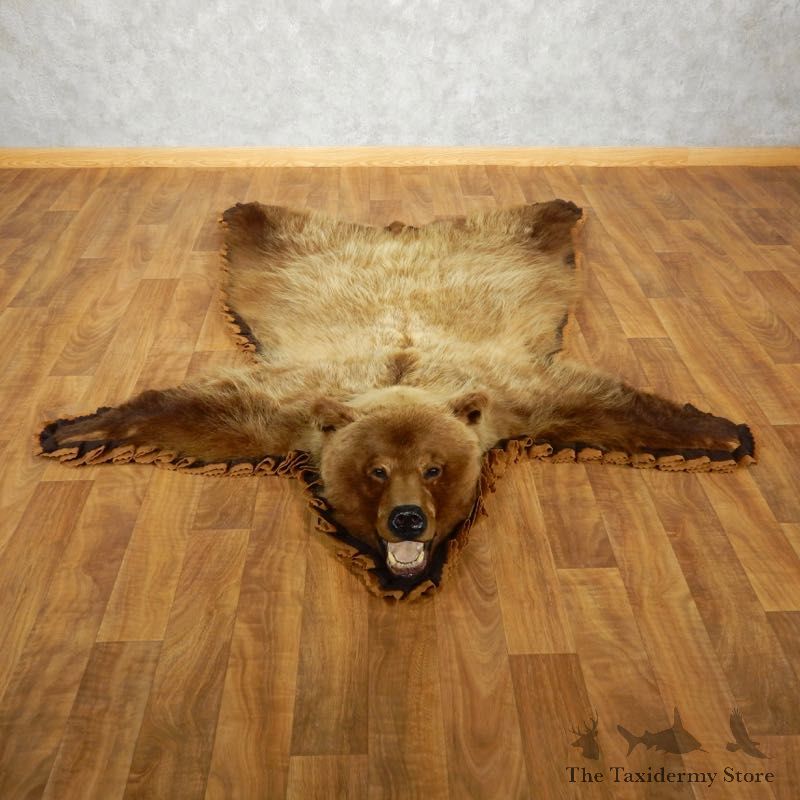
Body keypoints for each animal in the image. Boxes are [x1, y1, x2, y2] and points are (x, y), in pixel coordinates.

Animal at [38, 200, 755, 596]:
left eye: (435, 469)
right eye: (376, 470)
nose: (408, 521)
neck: (402, 377)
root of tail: (400, 231)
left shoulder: (517, 394)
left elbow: (608, 406)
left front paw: (722, 434)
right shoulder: (288, 404)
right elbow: (196, 411)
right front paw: (73, 430)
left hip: (513, 252)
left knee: (530, 224)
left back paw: (559, 206)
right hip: (287, 256)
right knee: (267, 226)